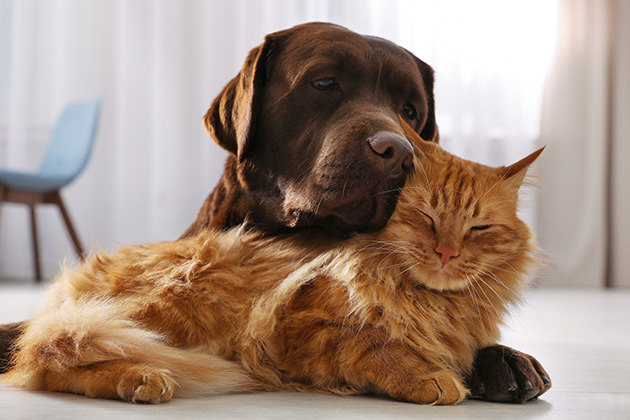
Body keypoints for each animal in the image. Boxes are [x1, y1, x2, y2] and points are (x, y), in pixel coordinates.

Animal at [0, 120, 544, 404]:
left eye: (478, 229)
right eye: (426, 217)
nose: (446, 252)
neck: (429, 301)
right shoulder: (308, 331)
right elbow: (378, 347)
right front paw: (433, 379)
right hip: (182, 296)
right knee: (45, 357)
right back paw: (142, 379)